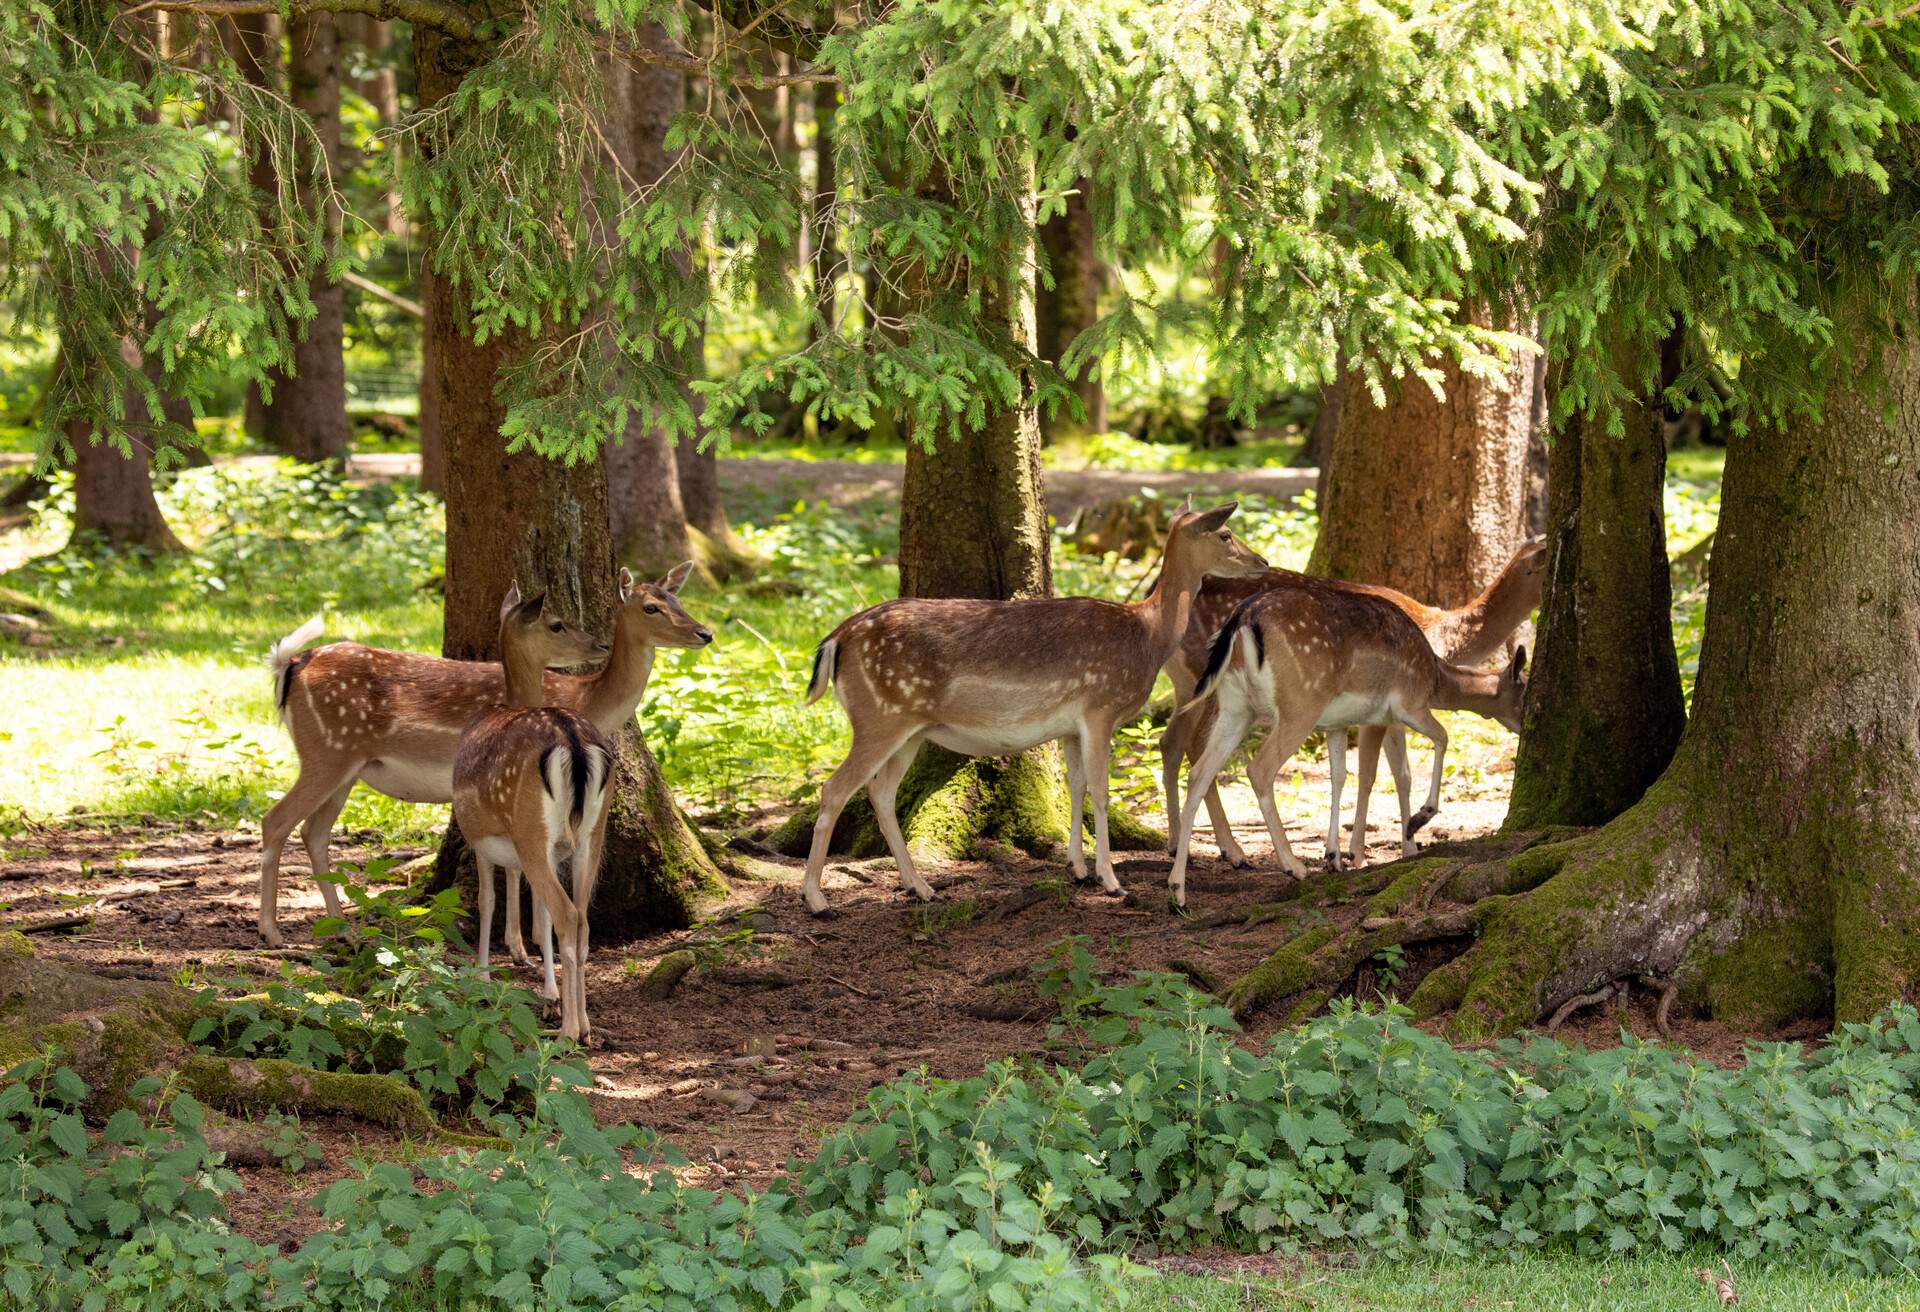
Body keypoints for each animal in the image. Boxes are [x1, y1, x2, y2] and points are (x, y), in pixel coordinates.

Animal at [253, 560, 706, 948]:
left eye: (679, 601)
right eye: (651, 607)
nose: (705, 633)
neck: (588, 699)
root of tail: (289, 665)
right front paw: (531, 944)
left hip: (347, 767)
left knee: (314, 831)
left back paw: (342, 928)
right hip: (327, 752)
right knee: (276, 820)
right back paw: (272, 933)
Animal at [455, 591, 614, 1044]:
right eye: (557, 623)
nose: (601, 644)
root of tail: (572, 741)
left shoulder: (477, 837)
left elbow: (486, 901)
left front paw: (482, 978)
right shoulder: (549, 851)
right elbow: (536, 915)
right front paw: (548, 995)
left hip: (529, 830)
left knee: (567, 914)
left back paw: (569, 1033)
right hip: (591, 835)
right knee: (581, 919)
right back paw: (586, 1026)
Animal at [798, 503, 1274, 914]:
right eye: (1226, 534)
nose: (1264, 562)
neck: (1148, 633)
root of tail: (834, 640)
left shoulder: (1071, 726)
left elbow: (1077, 788)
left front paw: (1078, 869)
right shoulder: (1100, 706)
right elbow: (1101, 791)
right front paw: (1111, 880)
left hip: (910, 730)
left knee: (880, 791)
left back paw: (922, 888)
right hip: (879, 717)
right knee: (835, 789)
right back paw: (817, 901)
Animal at [1152, 541, 1543, 872]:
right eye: (1524, 694)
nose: (1529, 725)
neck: (1442, 650)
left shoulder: (1357, 720)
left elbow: (1386, 774)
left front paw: (1387, 847)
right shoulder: (1393, 710)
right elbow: (1377, 772)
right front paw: (1370, 848)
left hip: (1208, 693)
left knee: (1175, 745)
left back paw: (1181, 853)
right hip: (1246, 696)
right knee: (1220, 755)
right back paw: (1250, 855)